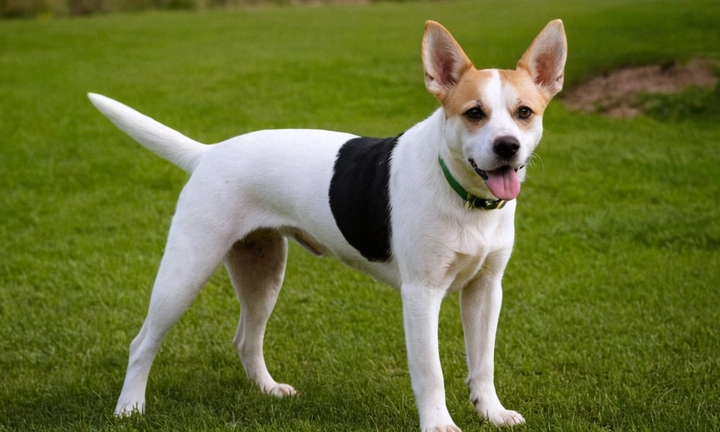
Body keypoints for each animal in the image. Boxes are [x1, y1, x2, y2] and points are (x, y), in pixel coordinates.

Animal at [87, 18, 564, 430]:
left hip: (262, 269)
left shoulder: (486, 288)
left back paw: (268, 390)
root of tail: (208, 153)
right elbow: (431, 371)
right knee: (142, 342)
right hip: (186, 270)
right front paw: (439, 425)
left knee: (246, 339)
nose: (508, 147)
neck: (463, 195)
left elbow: (483, 362)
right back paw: (129, 407)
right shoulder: (421, 294)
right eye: (474, 113)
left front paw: (492, 412)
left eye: (524, 112)